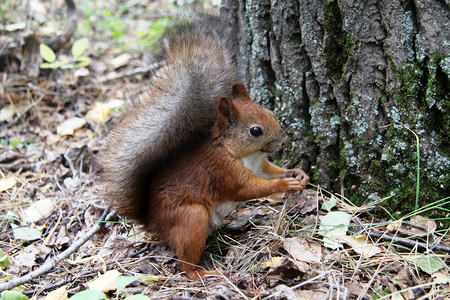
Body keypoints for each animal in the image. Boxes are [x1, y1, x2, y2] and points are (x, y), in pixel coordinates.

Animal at [103, 16, 310, 278]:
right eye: (255, 131)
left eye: (270, 113)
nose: (284, 141)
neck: (246, 155)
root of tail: (152, 221)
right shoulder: (223, 171)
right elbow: (247, 190)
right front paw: (285, 185)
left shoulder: (260, 166)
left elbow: (271, 172)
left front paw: (297, 174)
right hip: (192, 217)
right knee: (185, 264)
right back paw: (204, 273)